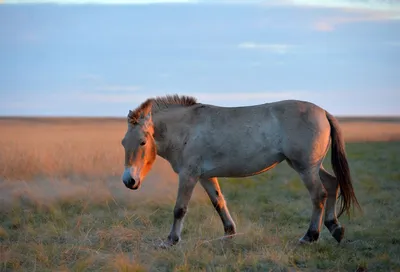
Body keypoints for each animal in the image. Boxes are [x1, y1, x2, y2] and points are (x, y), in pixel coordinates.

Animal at [120, 94, 360, 246]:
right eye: (123, 143)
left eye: (142, 142)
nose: (128, 181)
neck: (187, 128)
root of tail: (323, 112)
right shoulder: (205, 177)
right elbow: (219, 202)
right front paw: (229, 233)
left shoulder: (188, 176)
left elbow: (179, 209)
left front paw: (171, 240)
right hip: (310, 166)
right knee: (332, 184)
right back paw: (335, 228)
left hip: (305, 168)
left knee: (319, 195)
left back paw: (310, 236)